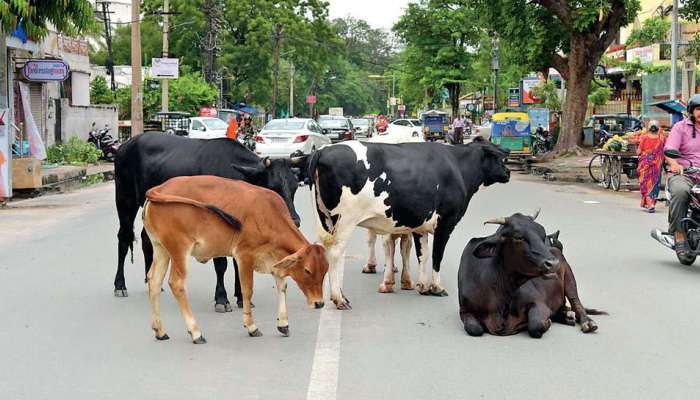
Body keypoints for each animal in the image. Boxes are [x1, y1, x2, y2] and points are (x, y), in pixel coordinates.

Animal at [113, 133, 304, 310]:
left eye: (294, 187)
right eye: (272, 187)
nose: (294, 220)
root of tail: (127, 144)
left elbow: (237, 262)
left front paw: (241, 297)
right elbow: (221, 264)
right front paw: (221, 299)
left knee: (147, 239)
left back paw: (152, 282)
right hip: (125, 199)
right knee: (124, 237)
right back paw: (120, 285)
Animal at [144, 176, 330, 344]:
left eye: (325, 271)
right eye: (307, 270)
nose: (319, 303)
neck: (268, 214)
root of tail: (160, 188)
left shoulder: (275, 260)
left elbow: (282, 287)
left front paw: (283, 324)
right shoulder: (244, 255)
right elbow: (247, 290)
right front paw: (251, 327)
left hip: (161, 249)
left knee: (154, 280)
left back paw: (160, 331)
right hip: (179, 250)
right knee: (177, 283)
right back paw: (196, 332)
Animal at [308, 138, 512, 310]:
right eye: (498, 158)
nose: (508, 173)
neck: (458, 167)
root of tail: (324, 150)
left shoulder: (421, 225)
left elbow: (423, 254)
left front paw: (423, 286)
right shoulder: (445, 223)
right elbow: (437, 256)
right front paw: (437, 287)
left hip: (326, 219)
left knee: (328, 250)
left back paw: (339, 296)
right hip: (345, 220)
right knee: (336, 253)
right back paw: (339, 299)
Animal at [460, 212, 600, 338]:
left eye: (543, 235)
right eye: (518, 237)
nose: (554, 263)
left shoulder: (538, 302)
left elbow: (535, 325)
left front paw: (546, 323)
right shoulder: (465, 310)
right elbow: (474, 329)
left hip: (569, 277)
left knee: (576, 302)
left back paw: (587, 323)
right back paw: (566, 316)